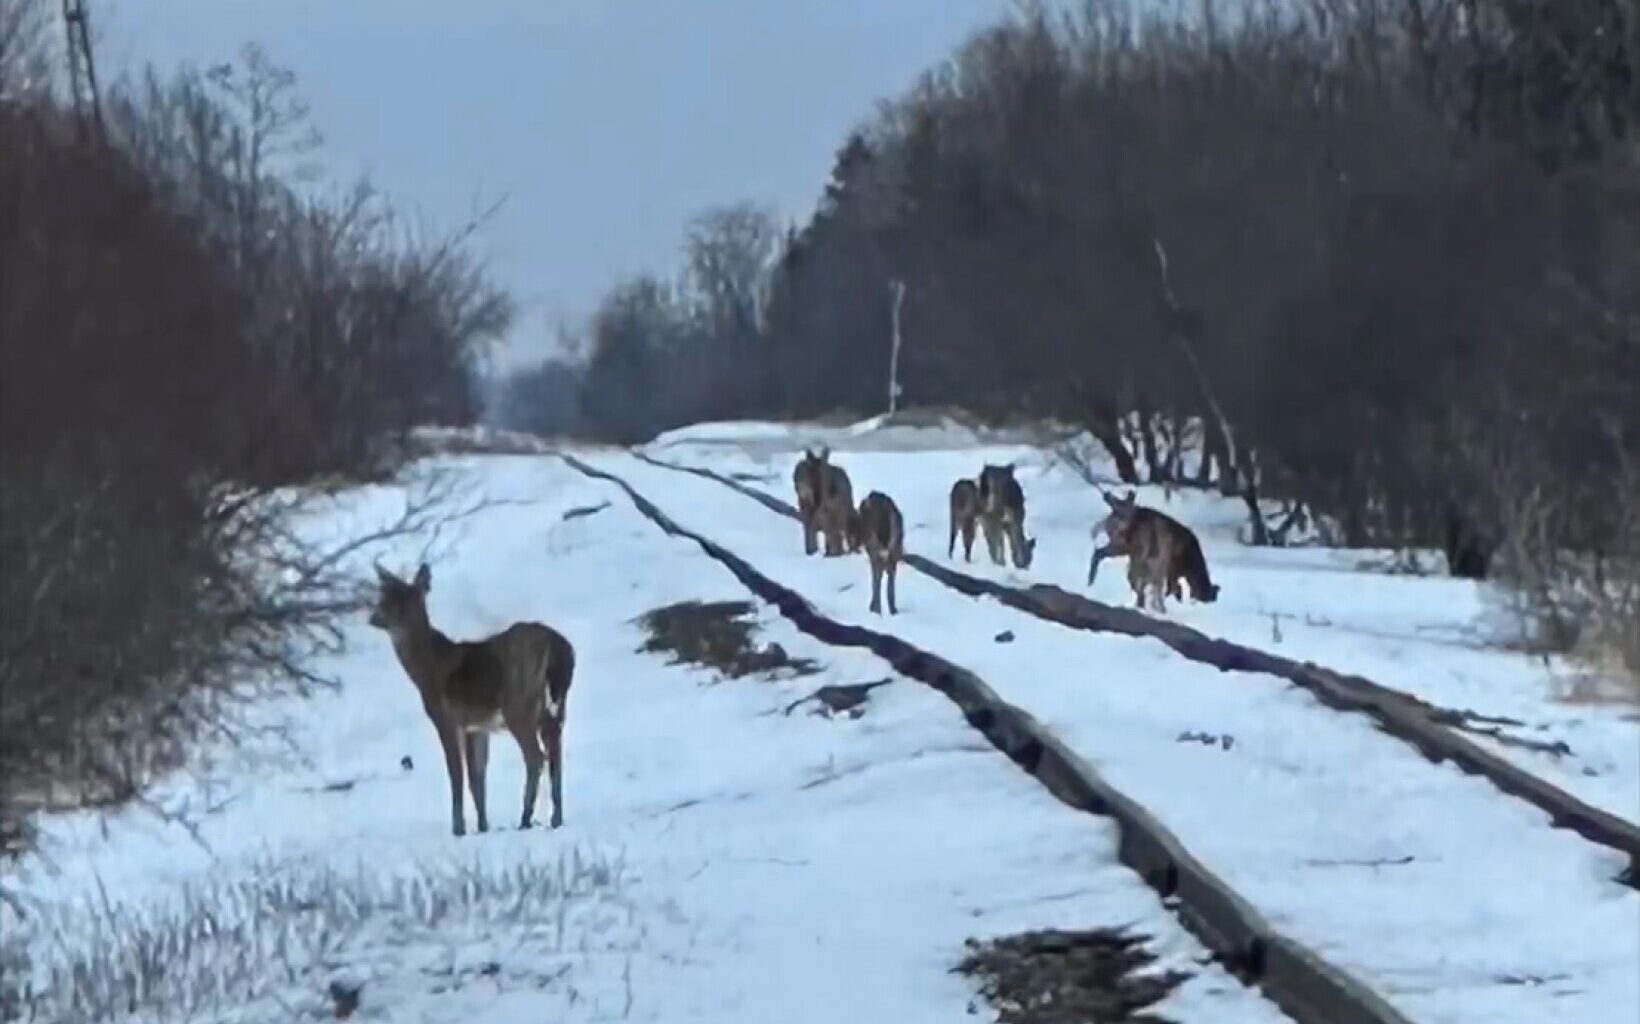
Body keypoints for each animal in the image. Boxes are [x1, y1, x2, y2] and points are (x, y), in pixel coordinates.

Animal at [369, 562, 575, 836]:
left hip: (517, 702)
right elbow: (477, 777)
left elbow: (456, 774)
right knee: (555, 751)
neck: (429, 669)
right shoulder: (476, 726)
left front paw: (458, 828)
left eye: (401, 600)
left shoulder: (447, 718)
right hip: (556, 703)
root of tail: (560, 648)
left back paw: (525, 819)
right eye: (383, 596)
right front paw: (483, 826)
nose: (374, 618)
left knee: (536, 756)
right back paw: (556, 818)